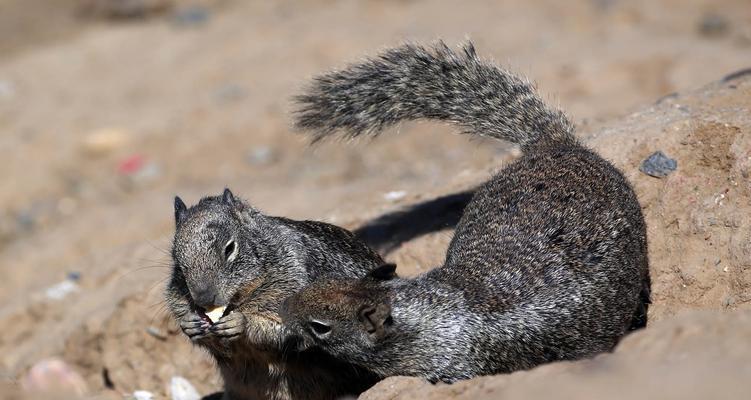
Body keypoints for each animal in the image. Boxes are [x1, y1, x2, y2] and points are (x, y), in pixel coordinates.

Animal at [166, 189, 388, 398]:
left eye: (230, 248)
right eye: (176, 258)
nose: (203, 299)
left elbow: (292, 332)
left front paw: (241, 322)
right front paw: (189, 324)